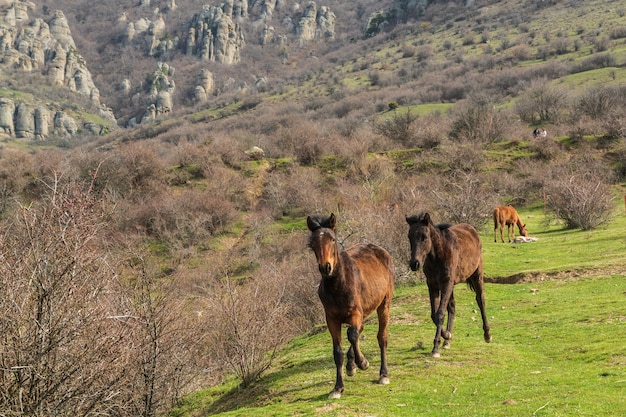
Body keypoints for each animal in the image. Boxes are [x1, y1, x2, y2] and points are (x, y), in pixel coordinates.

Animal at [304, 213, 392, 398]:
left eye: (332, 239)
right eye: (312, 243)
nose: (326, 267)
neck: (338, 284)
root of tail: (381, 251)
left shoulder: (355, 313)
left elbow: (352, 335)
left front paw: (363, 362)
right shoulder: (332, 319)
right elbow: (338, 351)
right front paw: (337, 387)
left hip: (384, 304)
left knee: (381, 337)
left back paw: (383, 374)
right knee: (360, 331)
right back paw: (351, 366)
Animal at [404, 213, 492, 356]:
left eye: (425, 237)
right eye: (409, 236)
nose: (414, 264)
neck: (437, 256)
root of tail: (472, 229)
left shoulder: (446, 284)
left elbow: (440, 313)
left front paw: (435, 348)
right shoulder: (433, 285)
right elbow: (434, 314)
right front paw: (446, 335)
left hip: (476, 276)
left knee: (481, 300)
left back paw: (487, 334)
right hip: (451, 285)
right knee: (452, 306)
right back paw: (447, 341)